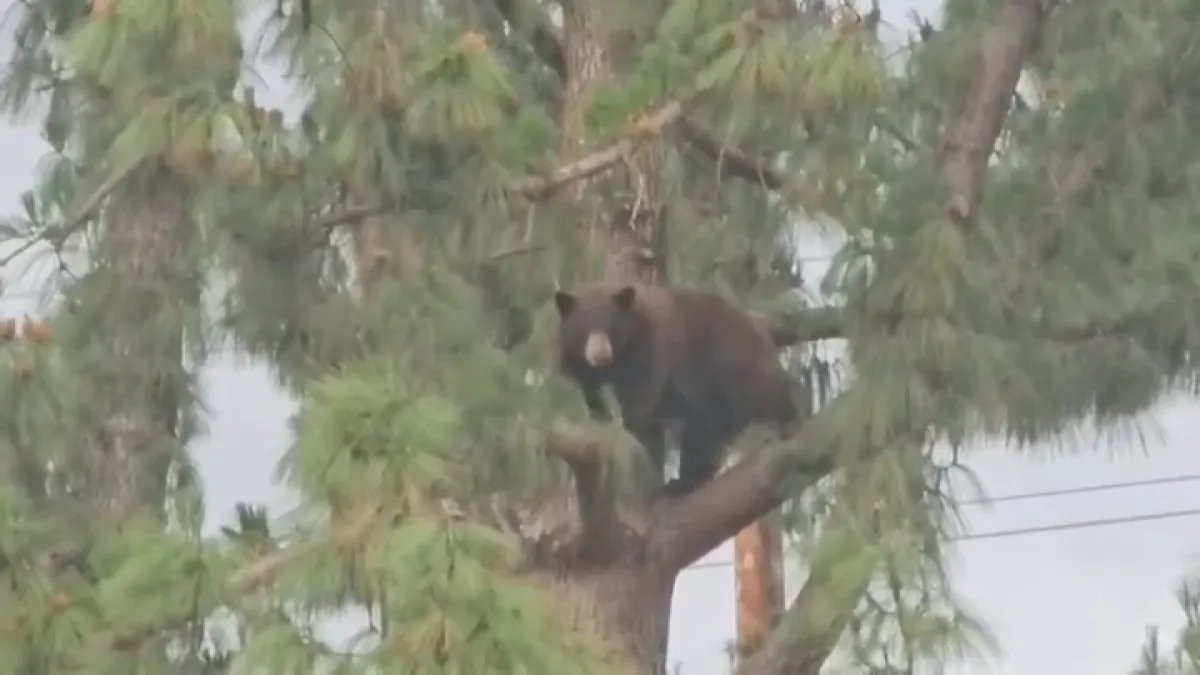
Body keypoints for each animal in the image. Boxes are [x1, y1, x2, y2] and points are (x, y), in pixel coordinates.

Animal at [552, 282, 797, 496]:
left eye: (612, 327)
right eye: (583, 329)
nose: (600, 354)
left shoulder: (655, 360)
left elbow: (645, 412)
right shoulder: (583, 374)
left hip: (736, 366)